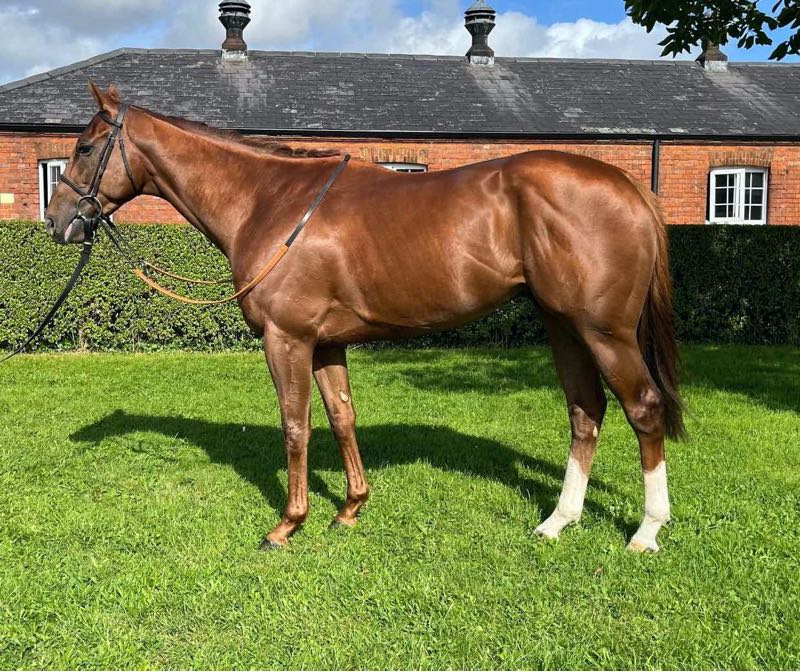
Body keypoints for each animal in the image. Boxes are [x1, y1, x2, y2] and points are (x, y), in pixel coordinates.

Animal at [45, 82, 684, 553]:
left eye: (84, 147)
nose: (57, 220)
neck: (267, 200)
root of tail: (627, 186)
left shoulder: (288, 340)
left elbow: (296, 426)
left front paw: (288, 524)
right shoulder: (326, 344)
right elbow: (342, 418)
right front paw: (349, 509)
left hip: (605, 333)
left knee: (643, 409)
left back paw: (647, 530)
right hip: (564, 327)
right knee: (586, 413)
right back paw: (558, 521)